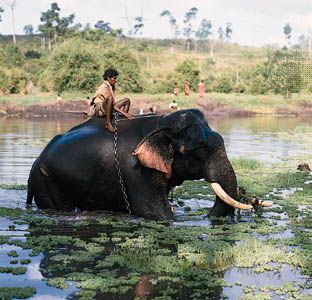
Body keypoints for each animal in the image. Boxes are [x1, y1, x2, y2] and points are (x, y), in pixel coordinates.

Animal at [26, 109, 270, 219]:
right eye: (200, 151)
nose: (251, 199)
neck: (163, 123)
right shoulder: (137, 172)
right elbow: (158, 214)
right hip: (47, 183)